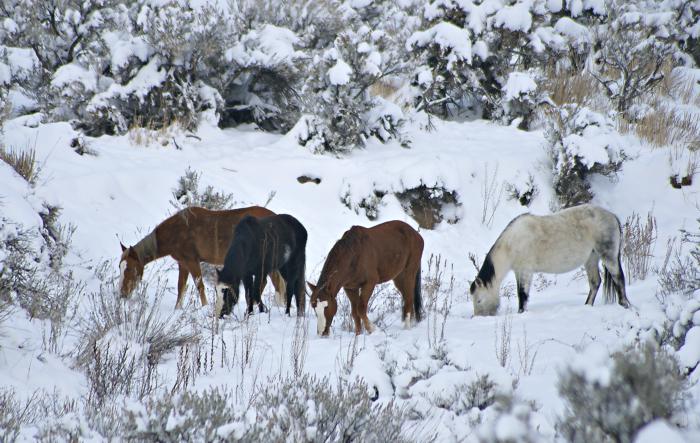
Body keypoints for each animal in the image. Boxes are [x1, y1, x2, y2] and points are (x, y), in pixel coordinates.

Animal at [118, 207, 284, 308]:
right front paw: (177, 309)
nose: (122, 294)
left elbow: (200, 285)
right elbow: (181, 287)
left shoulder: (192, 260)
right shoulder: (183, 263)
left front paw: (204, 306)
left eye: (130, 269)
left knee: (275, 283)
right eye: (120, 267)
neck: (176, 231)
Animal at [470, 205, 628, 316]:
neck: (512, 244)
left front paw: (521, 312)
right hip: (591, 258)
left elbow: (522, 294)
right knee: (595, 282)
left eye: (479, 300)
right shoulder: (519, 271)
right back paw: (587, 306)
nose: (478, 317)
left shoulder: (525, 271)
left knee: (618, 278)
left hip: (608, 255)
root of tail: (613, 216)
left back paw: (624, 304)